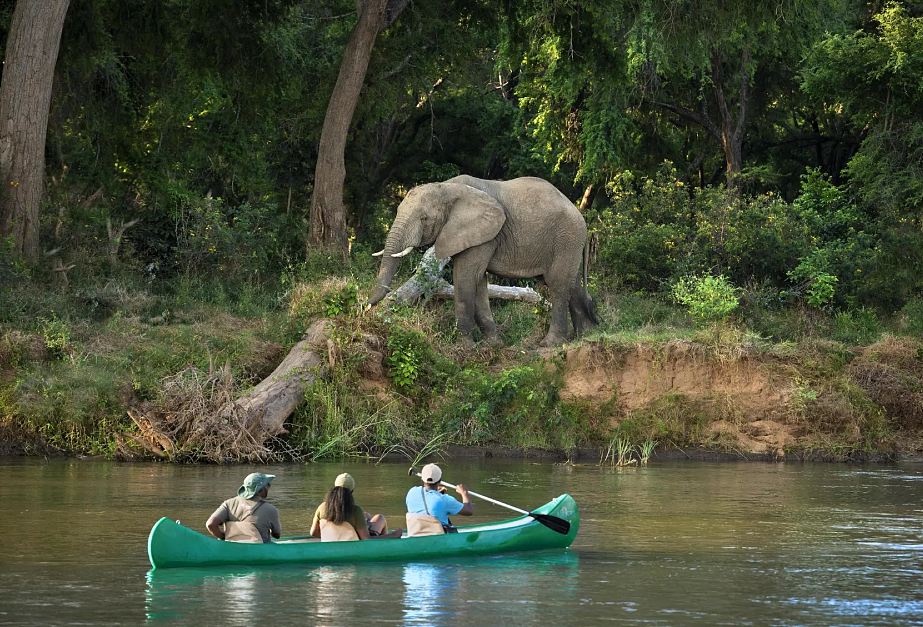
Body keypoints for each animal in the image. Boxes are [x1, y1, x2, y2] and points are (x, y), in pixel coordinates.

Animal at [368, 175, 597, 347]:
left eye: (424, 218)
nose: (367, 307)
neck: (447, 187)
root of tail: (581, 216)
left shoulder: (484, 233)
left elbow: (465, 276)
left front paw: (464, 347)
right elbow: (478, 281)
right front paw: (493, 344)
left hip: (567, 237)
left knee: (558, 284)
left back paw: (551, 344)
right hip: (568, 242)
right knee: (572, 285)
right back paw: (586, 335)